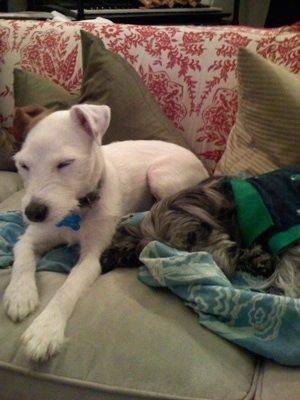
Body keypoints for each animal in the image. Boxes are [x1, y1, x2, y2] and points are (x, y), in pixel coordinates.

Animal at [2, 104, 209, 362]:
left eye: (65, 163)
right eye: (23, 165)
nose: (33, 213)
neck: (75, 211)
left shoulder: (92, 258)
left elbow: (66, 289)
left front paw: (46, 329)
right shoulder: (29, 239)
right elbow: (22, 261)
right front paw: (20, 295)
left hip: (159, 176)